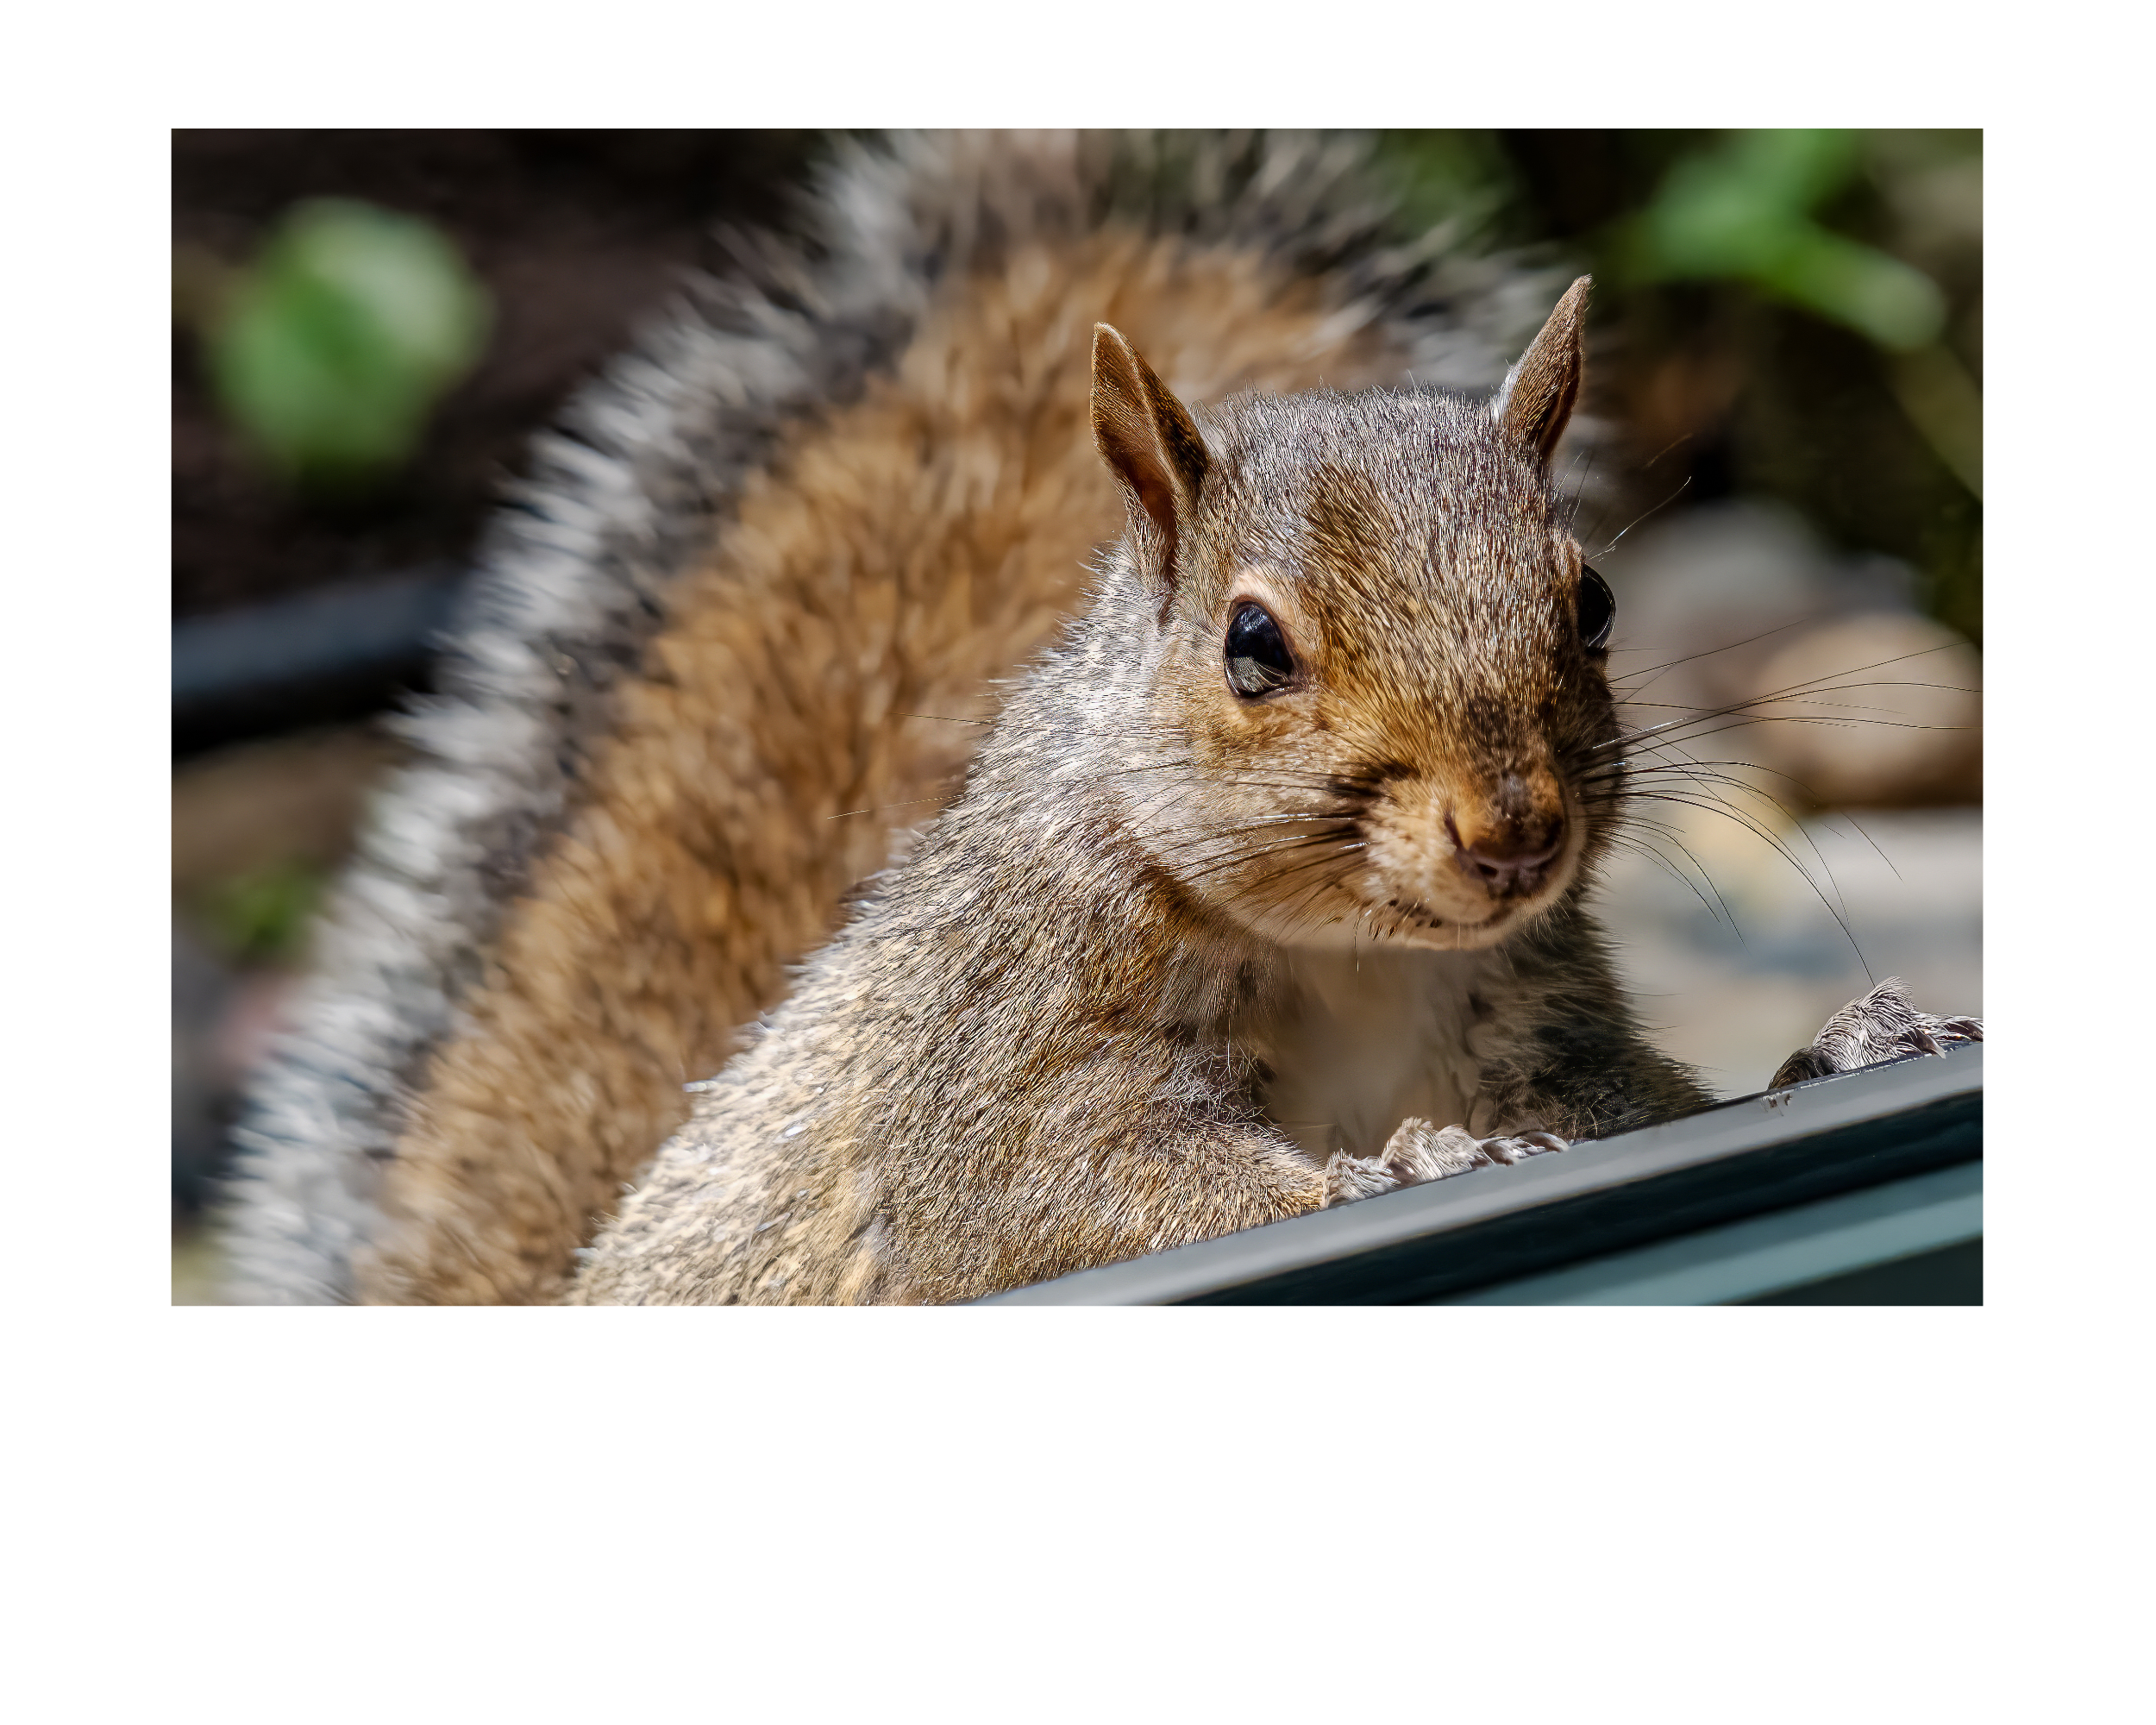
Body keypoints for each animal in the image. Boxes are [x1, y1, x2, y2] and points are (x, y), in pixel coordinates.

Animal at [218, 131, 1979, 1305]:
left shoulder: (1537, 1028)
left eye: (1597, 605)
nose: (1515, 834)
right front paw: (1402, 1170)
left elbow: (1652, 1114)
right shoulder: (1006, 1055)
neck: (1356, 960)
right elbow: (1065, 1200)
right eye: (1252, 646)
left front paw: (1844, 1048)